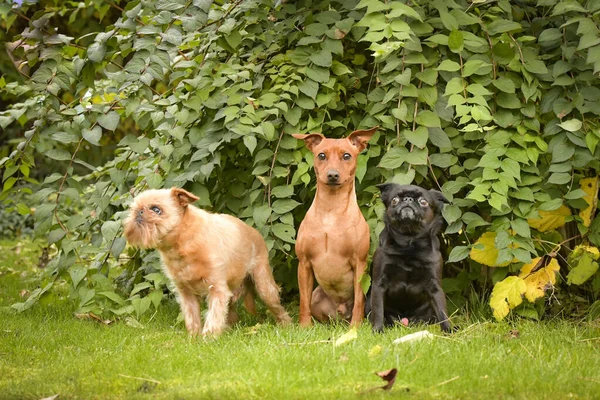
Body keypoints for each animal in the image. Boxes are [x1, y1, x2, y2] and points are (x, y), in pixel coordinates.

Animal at [123, 186, 292, 336]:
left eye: (156, 209)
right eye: (134, 209)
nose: (139, 212)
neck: (182, 242)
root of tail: (256, 232)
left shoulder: (217, 289)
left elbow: (213, 316)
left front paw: (208, 339)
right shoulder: (186, 294)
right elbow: (192, 317)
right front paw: (193, 338)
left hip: (264, 285)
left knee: (277, 307)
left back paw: (286, 325)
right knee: (231, 313)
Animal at [292, 126, 378, 326]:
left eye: (346, 156)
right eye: (321, 155)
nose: (332, 175)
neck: (330, 213)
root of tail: (341, 313)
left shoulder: (359, 262)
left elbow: (359, 301)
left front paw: (356, 327)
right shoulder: (304, 264)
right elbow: (303, 301)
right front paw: (304, 326)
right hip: (317, 295)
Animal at [368, 183, 452, 332]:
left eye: (423, 202)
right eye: (394, 200)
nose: (408, 199)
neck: (409, 243)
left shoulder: (435, 287)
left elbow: (442, 311)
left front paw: (449, 330)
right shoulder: (378, 284)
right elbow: (378, 310)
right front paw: (377, 330)